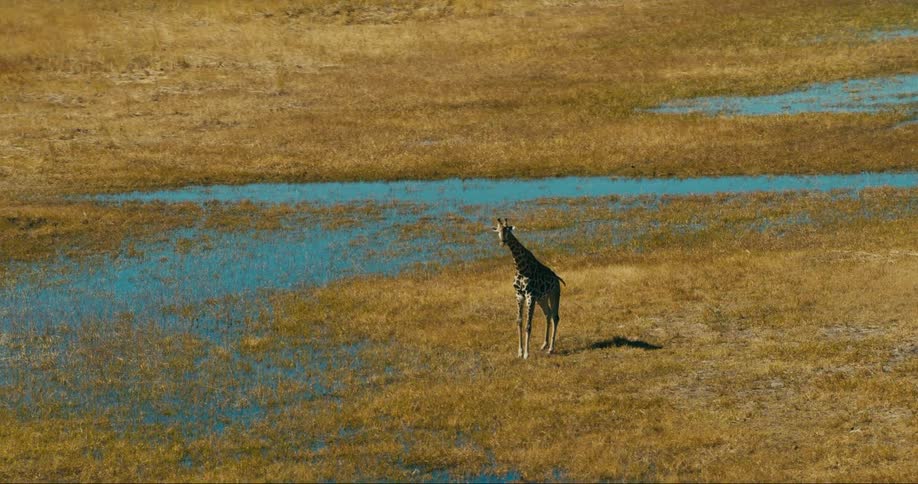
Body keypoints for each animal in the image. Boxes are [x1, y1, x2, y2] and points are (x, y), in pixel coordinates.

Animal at [492, 218, 565, 359]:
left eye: (507, 230)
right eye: (498, 230)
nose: (503, 242)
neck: (520, 268)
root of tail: (557, 278)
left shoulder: (530, 295)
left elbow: (528, 325)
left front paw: (526, 353)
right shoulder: (519, 295)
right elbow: (519, 322)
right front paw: (520, 352)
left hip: (554, 294)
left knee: (555, 317)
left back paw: (551, 349)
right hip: (542, 299)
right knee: (547, 314)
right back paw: (544, 345)